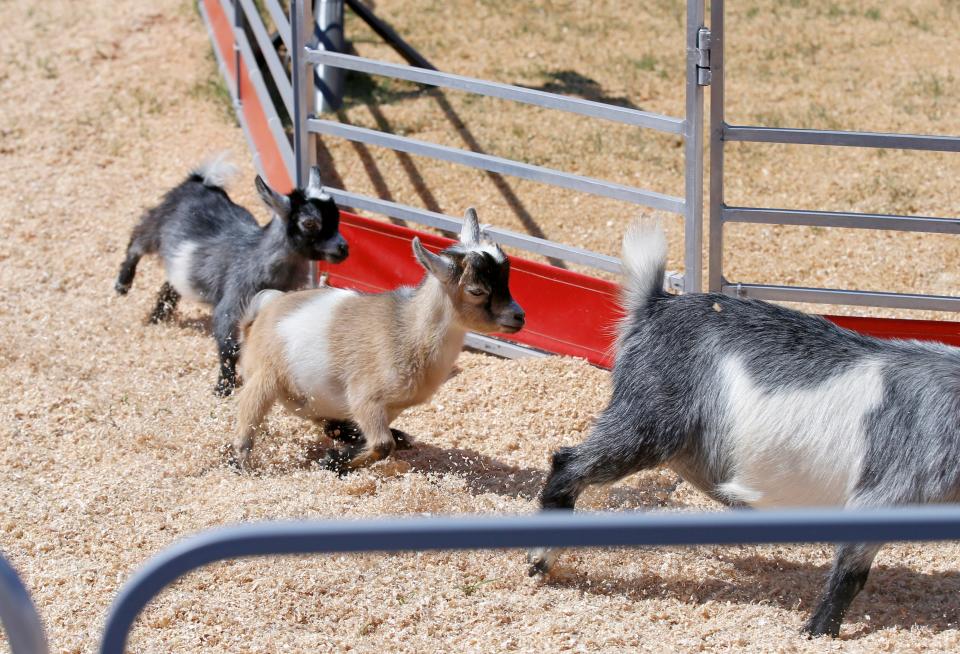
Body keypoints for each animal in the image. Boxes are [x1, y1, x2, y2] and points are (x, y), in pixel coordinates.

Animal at [115, 156, 348, 398]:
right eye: (310, 223)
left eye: (337, 215)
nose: (343, 249)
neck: (256, 257)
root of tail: (199, 181)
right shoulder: (233, 303)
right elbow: (229, 346)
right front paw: (223, 387)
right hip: (156, 226)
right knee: (136, 242)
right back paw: (123, 283)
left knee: (170, 285)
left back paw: (157, 317)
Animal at [236, 208, 528, 474]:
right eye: (476, 291)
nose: (519, 317)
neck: (408, 332)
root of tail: (260, 315)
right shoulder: (365, 398)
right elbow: (382, 445)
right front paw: (332, 462)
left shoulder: (393, 406)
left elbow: (381, 440)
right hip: (264, 377)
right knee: (248, 418)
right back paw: (240, 463)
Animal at [528, 220, 960, 640]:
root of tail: (654, 304)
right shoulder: (883, 492)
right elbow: (849, 576)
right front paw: (815, 634)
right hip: (648, 418)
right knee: (569, 461)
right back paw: (539, 561)